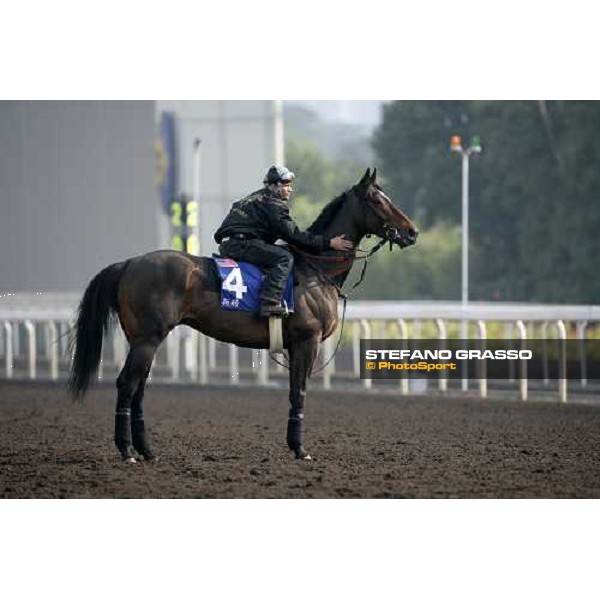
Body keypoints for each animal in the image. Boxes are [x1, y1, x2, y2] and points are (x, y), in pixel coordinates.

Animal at [69, 169, 418, 464]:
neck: (316, 269)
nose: (411, 232)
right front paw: (300, 449)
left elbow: (294, 391)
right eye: (377, 199)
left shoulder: (296, 345)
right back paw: (127, 451)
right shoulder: (307, 341)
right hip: (147, 339)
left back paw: (147, 450)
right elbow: (300, 392)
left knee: (139, 387)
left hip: (145, 340)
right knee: (127, 384)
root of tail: (128, 263)